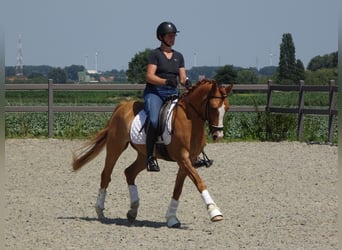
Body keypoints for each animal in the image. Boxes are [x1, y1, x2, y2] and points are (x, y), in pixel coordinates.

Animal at [71, 79, 232, 228]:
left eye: (227, 108)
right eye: (213, 107)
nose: (218, 135)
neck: (190, 120)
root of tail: (122, 105)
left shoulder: (188, 161)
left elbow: (178, 189)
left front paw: (171, 218)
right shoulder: (182, 158)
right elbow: (199, 182)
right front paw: (215, 212)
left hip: (144, 155)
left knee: (129, 172)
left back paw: (132, 211)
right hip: (115, 146)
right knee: (106, 174)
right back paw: (100, 211)